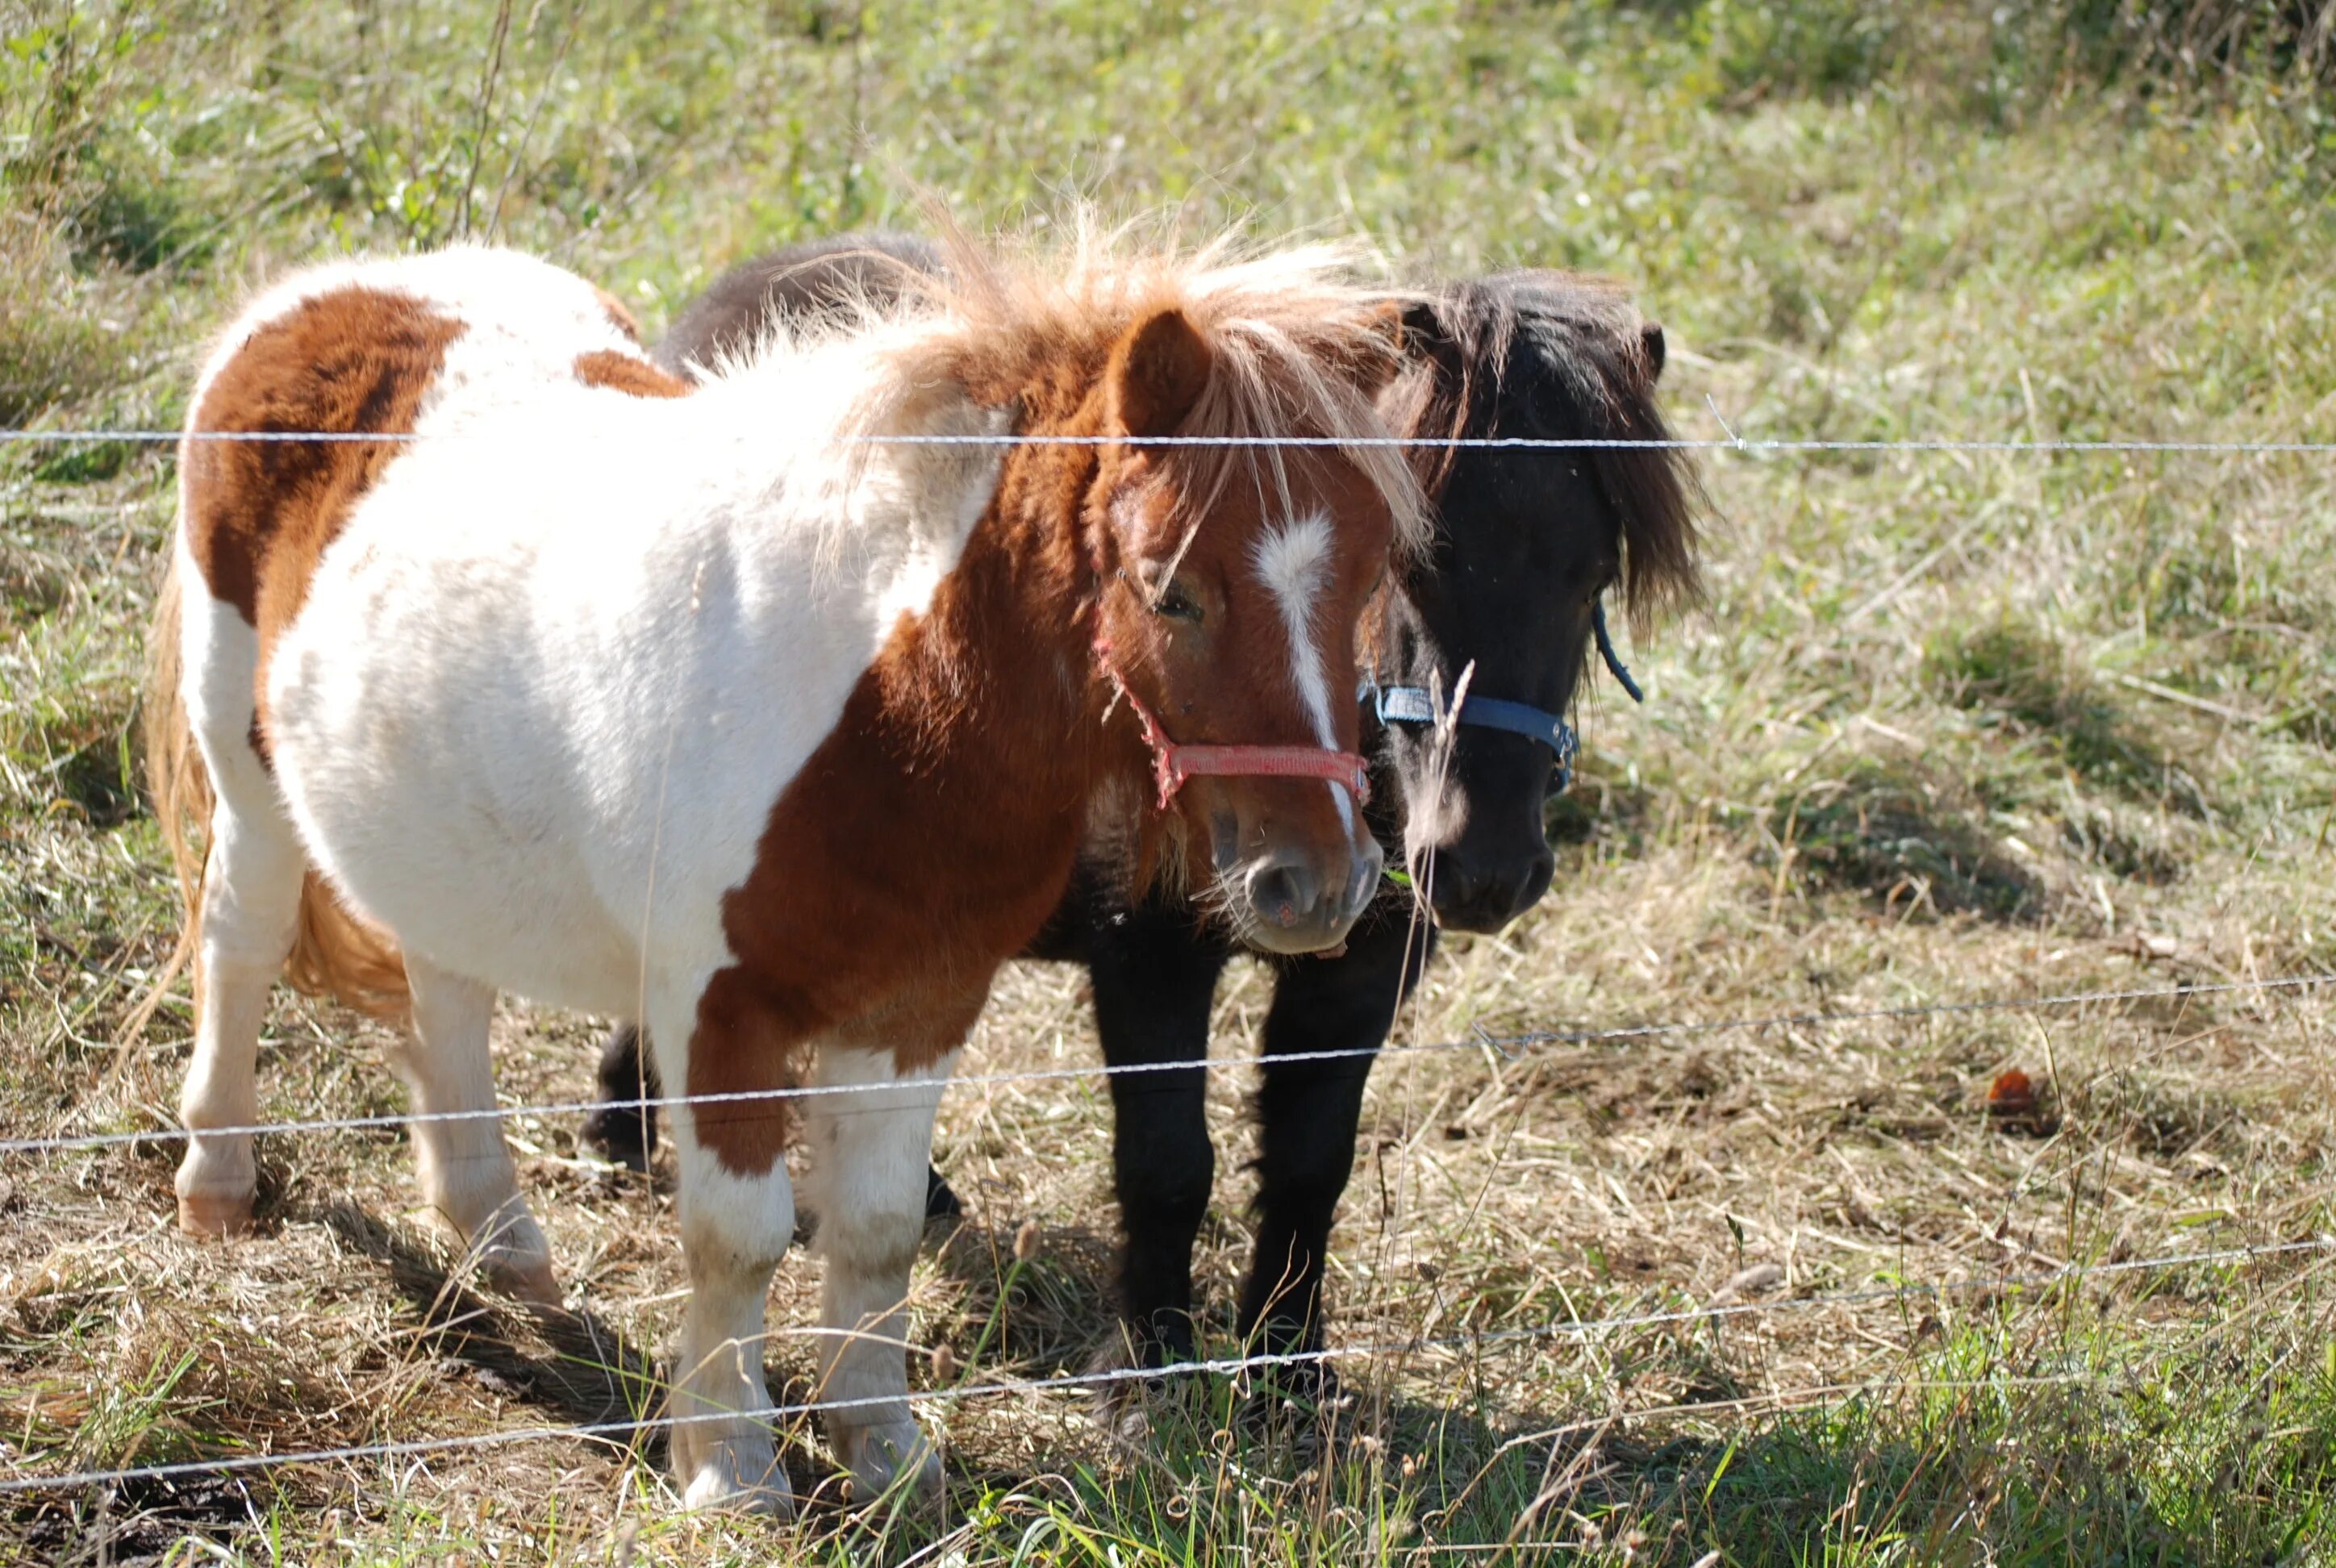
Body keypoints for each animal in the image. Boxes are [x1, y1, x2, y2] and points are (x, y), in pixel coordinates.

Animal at [150, 230, 1420, 1504]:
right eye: (1171, 589)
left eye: (1372, 582)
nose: (1321, 885)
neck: (880, 708)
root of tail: (319, 294)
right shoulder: (721, 1012)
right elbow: (741, 1238)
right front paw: (730, 1466)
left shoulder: (921, 1006)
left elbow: (879, 1230)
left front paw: (885, 1451)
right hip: (250, 779)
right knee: (241, 943)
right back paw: (219, 1183)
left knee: (445, 985)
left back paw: (499, 1237)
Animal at [584, 241, 1700, 1402]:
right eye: (1416, 559)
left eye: (1593, 574)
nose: (1483, 865)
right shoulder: (1146, 956)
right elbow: (1168, 1164)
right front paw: (1155, 1363)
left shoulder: (1361, 974)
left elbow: (1311, 1162)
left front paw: (1289, 1363)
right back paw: (627, 1118)